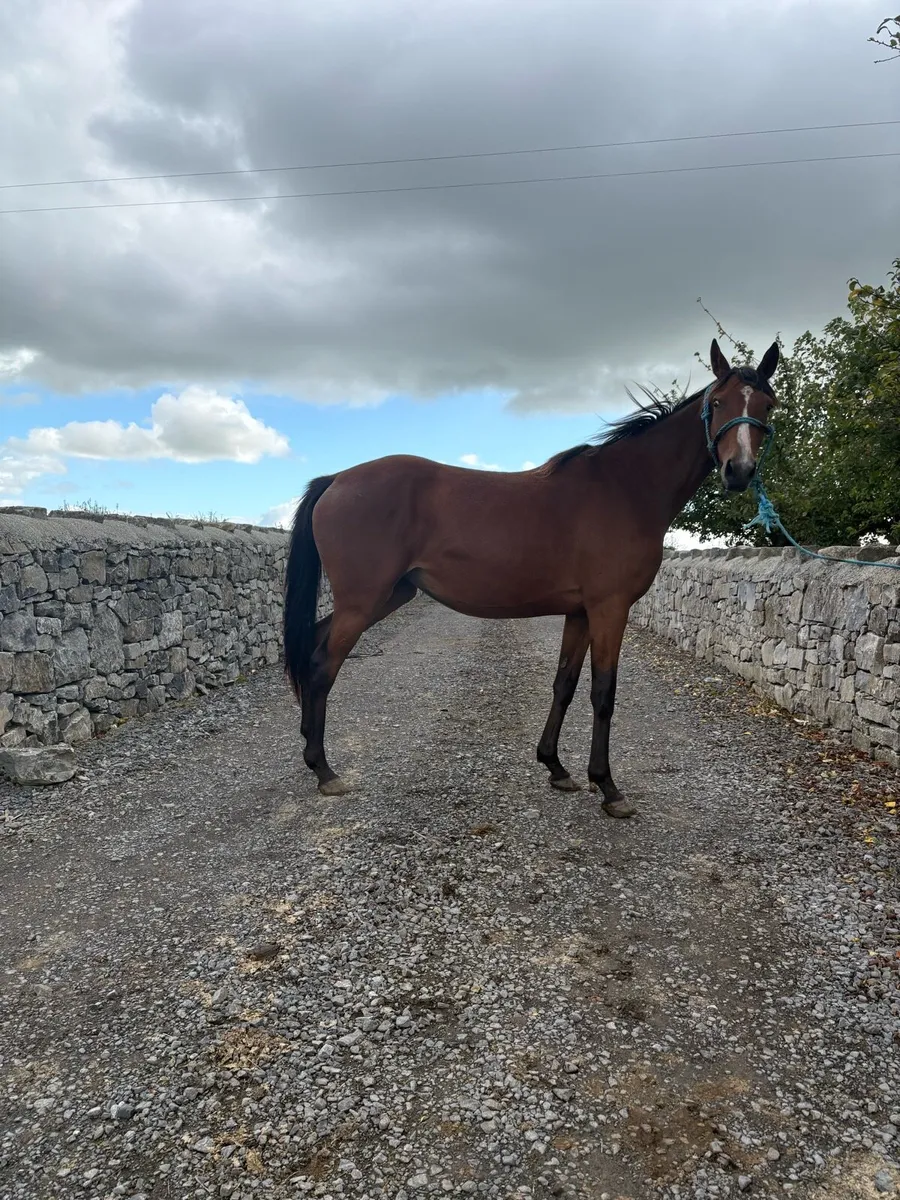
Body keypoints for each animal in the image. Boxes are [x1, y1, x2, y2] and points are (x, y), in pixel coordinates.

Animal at [283, 337, 780, 817]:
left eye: (767, 405)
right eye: (718, 402)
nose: (739, 471)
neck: (626, 488)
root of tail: (337, 479)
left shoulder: (580, 612)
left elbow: (565, 685)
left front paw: (555, 766)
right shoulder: (609, 608)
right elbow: (603, 692)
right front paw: (608, 787)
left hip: (386, 595)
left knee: (313, 645)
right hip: (364, 600)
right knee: (323, 665)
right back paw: (324, 770)